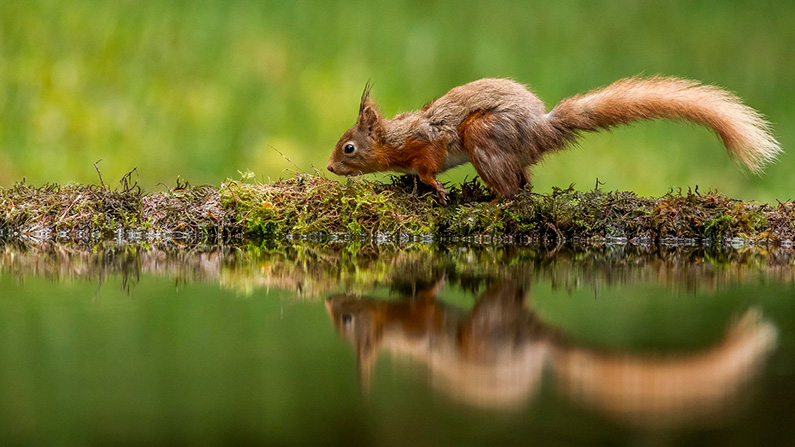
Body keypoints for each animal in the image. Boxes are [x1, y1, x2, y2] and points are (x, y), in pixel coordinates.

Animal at [326, 78, 780, 204]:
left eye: (349, 148)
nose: (330, 167)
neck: (393, 138)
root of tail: (539, 128)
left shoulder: (427, 140)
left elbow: (429, 165)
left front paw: (433, 187)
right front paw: (411, 184)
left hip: (482, 135)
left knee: (512, 191)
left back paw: (493, 203)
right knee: (524, 181)